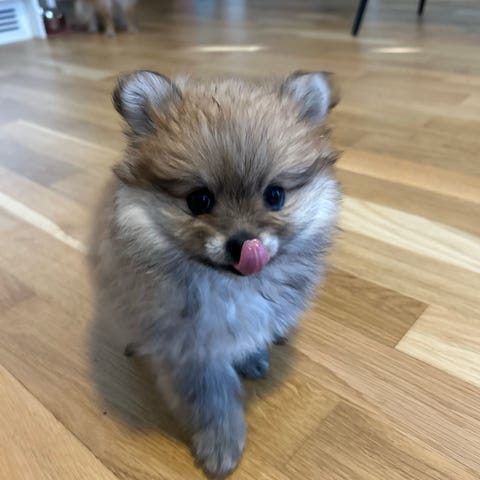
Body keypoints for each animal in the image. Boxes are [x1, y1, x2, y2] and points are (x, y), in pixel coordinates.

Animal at [89, 70, 341, 478]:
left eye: (275, 196)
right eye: (199, 200)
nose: (244, 244)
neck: (230, 285)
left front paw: (251, 356)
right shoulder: (191, 348)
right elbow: (211, 397)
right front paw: (220, 443)